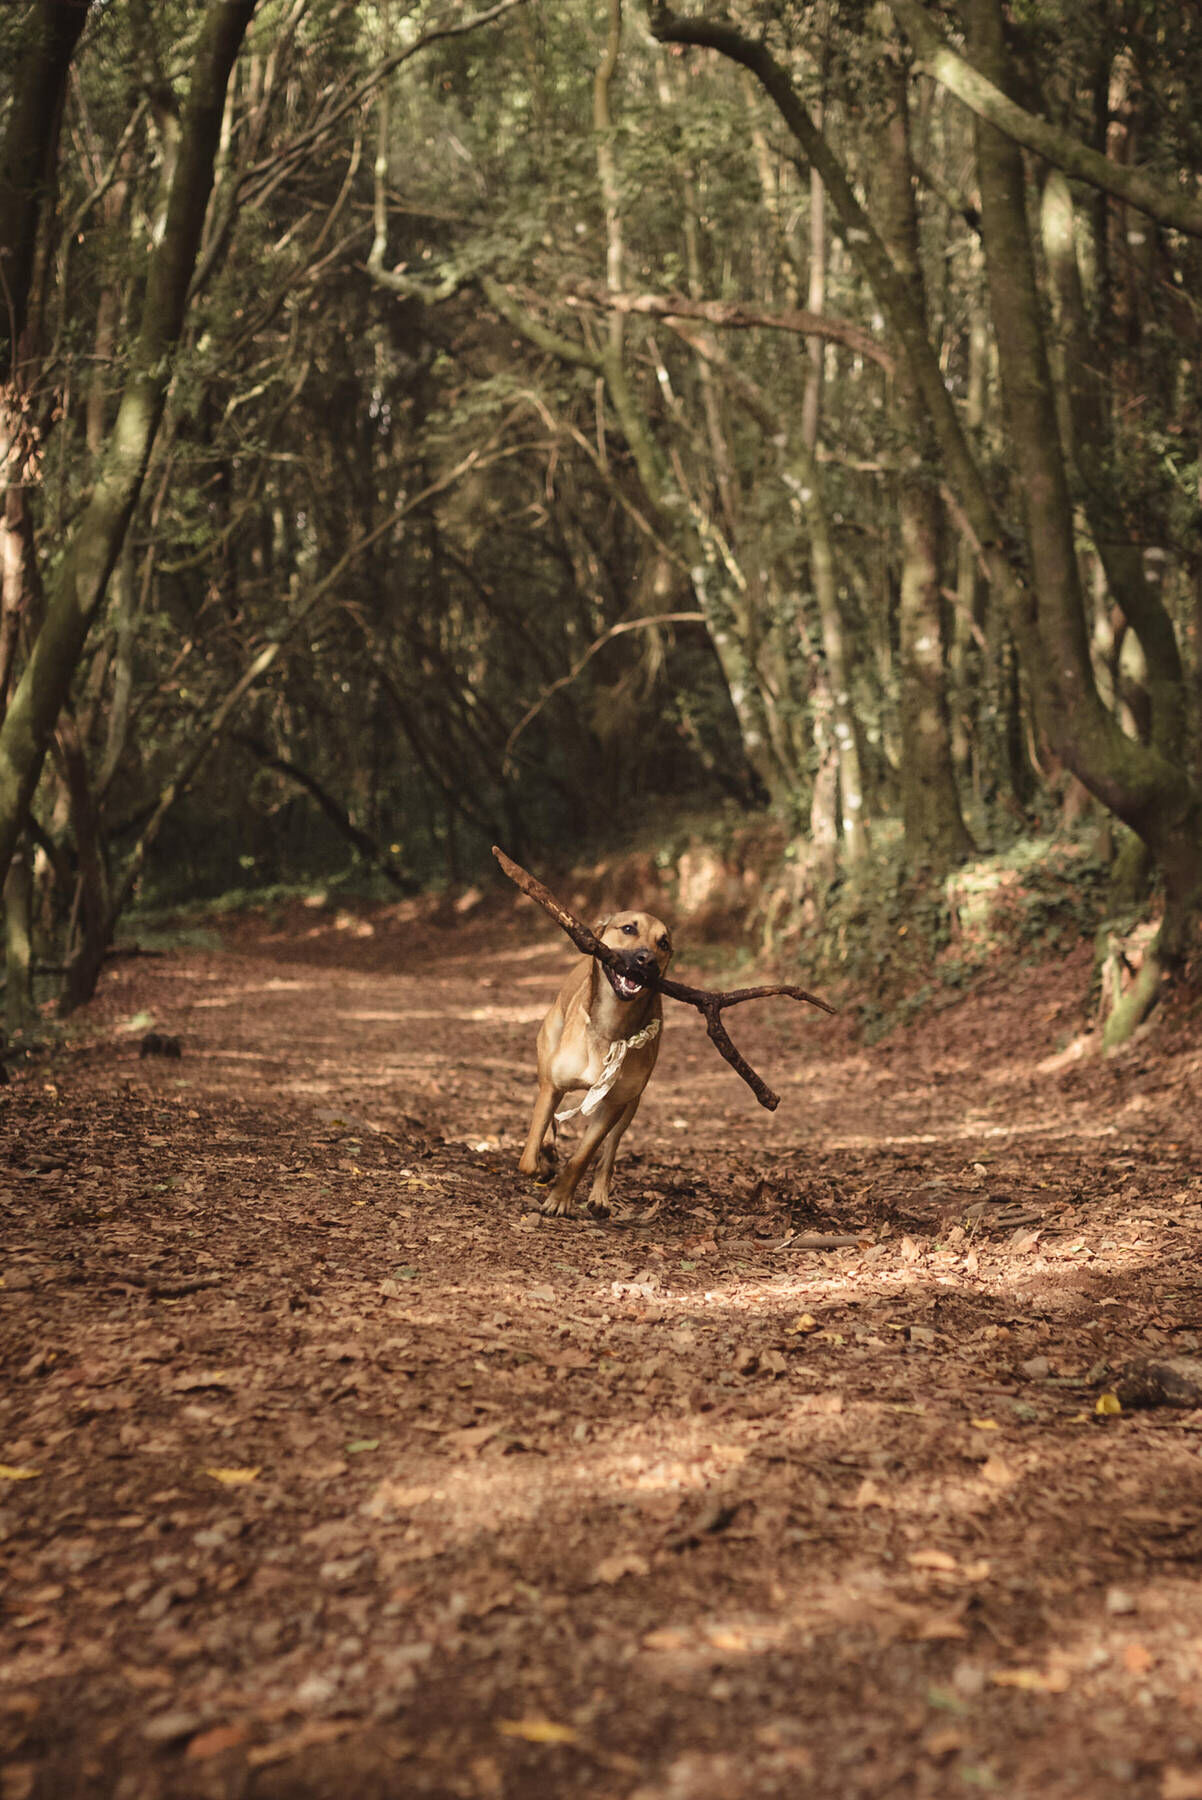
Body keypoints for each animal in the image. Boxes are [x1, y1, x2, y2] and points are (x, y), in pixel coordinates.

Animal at [518, 907, 672, 1216]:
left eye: (663, 943)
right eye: (628, 929)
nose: (647, 960)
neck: (611, 1025)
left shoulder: (613, 1103)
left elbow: (583, 1157)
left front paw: (560, 1199)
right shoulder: (553, 1085)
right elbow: (529, 1158)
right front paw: (542, 1163)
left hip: (630, 1105)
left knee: (609, 1152)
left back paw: (599, 1195)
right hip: (547, 1061)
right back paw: (548, 1150)